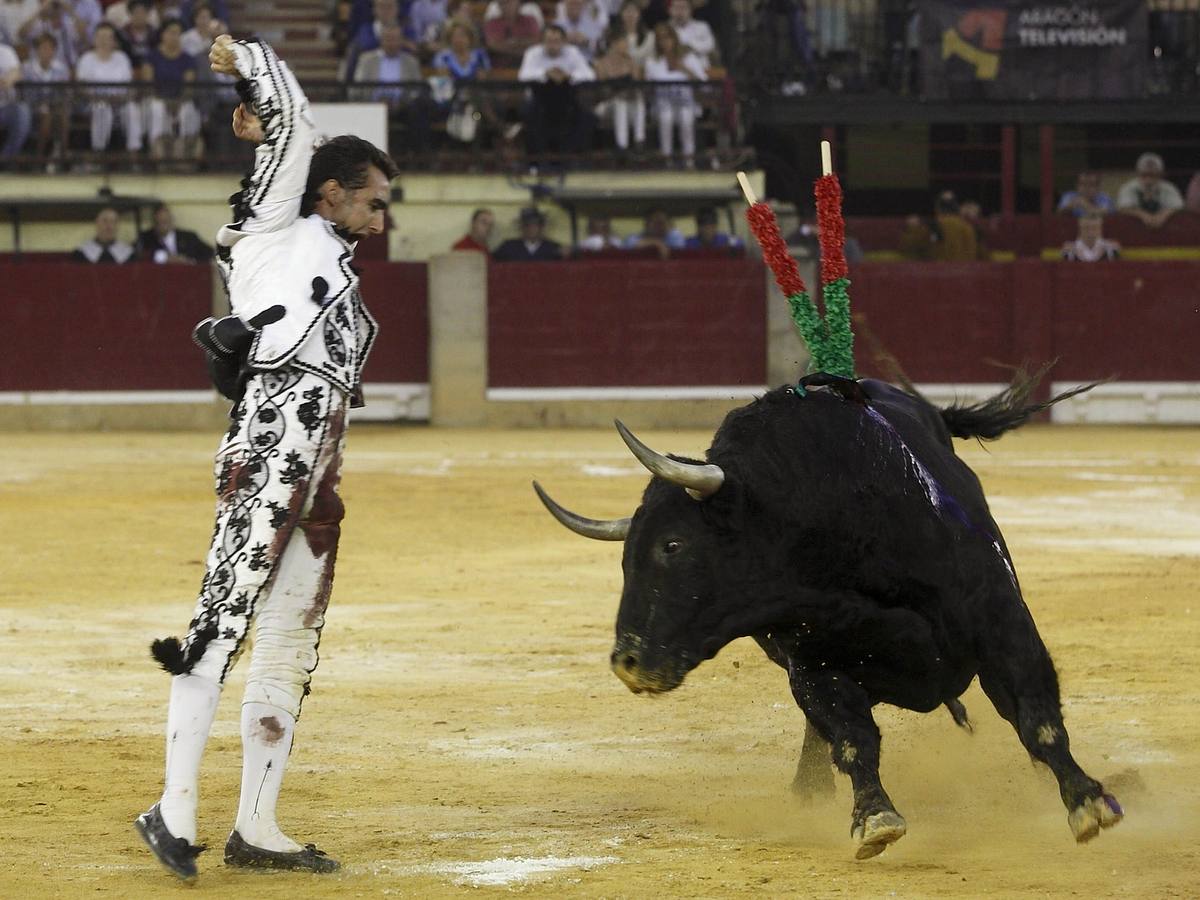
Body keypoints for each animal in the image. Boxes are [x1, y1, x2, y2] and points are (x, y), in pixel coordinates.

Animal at [535, 376, 1123, 864]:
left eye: (672, 545)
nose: (627, 661)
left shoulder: (1002, 621)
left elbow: (1037, 719)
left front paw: (1088, 802)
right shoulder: (814, 666)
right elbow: (851, 738)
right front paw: (874, 818)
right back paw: (808, 792)